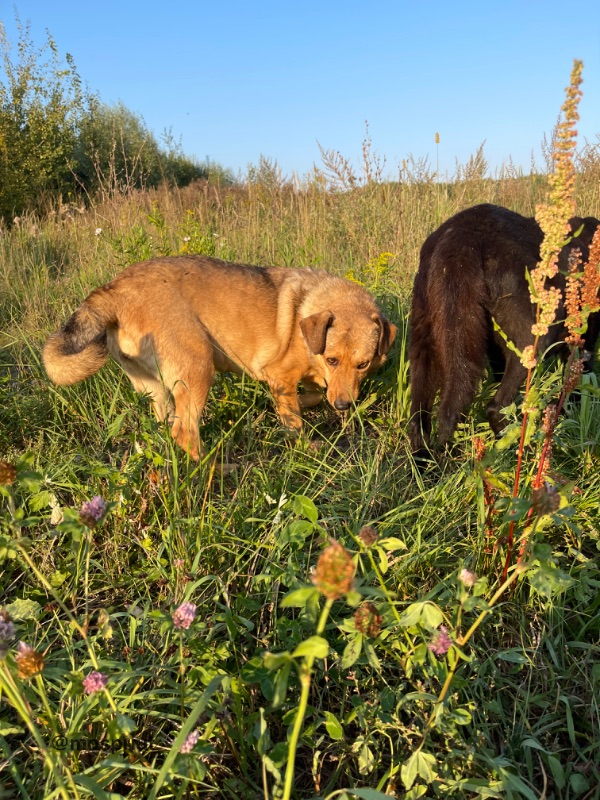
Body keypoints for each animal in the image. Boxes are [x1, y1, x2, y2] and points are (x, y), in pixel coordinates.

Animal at [44, 253, 396, 460]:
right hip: (199, 367)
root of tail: (114, 289)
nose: (344, 406)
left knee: (168, 425)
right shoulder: (280, 376)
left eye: (363, 365)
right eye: (332, 360)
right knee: (185, 431)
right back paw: (212, 470)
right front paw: (304, 445)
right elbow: (294, 420)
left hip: (153, 387)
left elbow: (311, 395)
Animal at [408, 205, 600, 456]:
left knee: (420, 418)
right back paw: (519, 451)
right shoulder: (583, 344)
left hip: (425, 338)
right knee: (495, 407)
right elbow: (577, 387)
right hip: (529, 342)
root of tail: (459, 239)